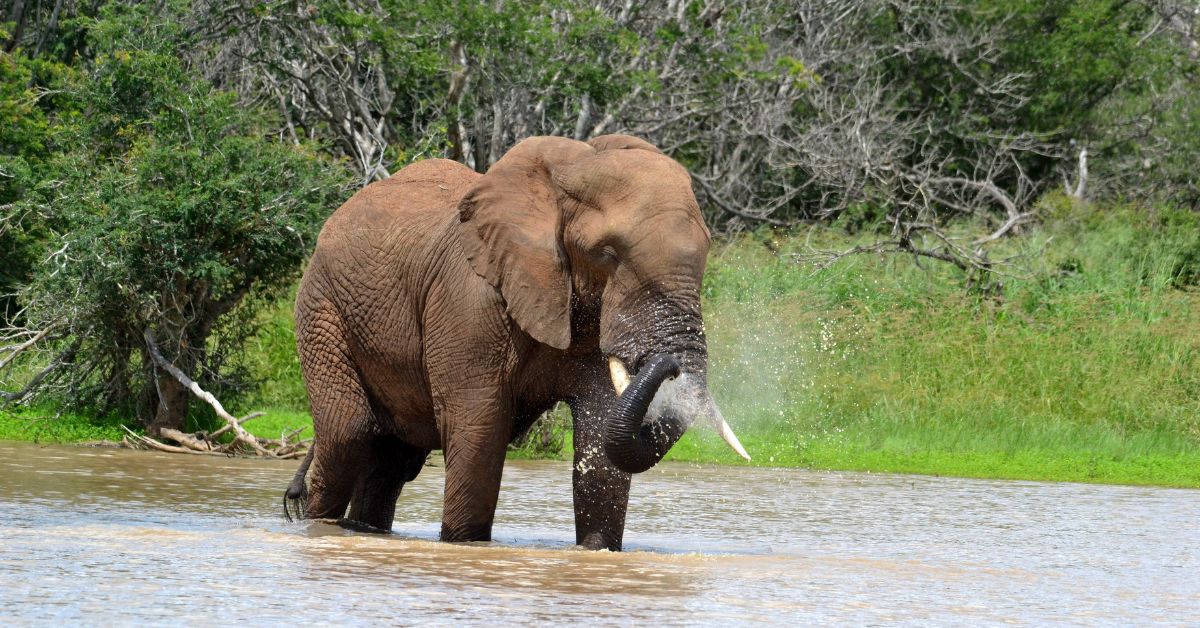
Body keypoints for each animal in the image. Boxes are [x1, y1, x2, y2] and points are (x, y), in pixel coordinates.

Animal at [284, 134, 748, 551]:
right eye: (607, 253)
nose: (669, 365)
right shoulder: (468, 303)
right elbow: (479, 428)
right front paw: (466, 546)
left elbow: (600, 441)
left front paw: (596, 553)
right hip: (321, 309)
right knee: (349, 436)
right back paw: (319, 530)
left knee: (390, 465)